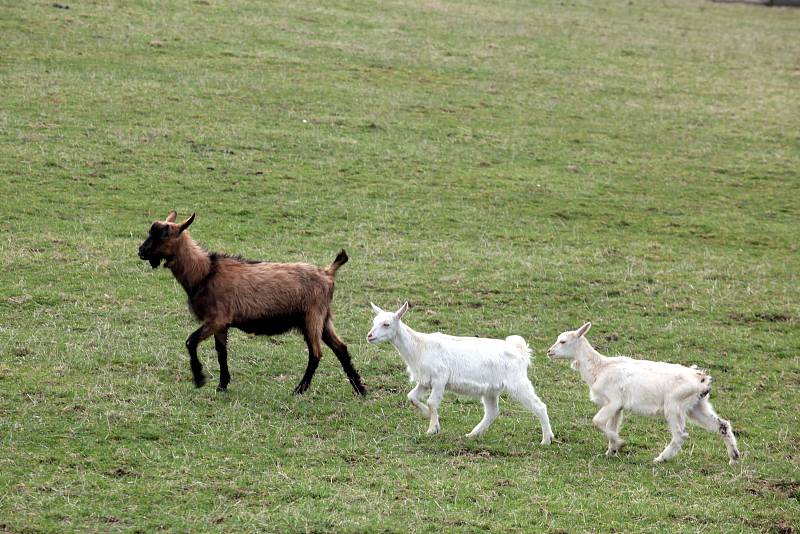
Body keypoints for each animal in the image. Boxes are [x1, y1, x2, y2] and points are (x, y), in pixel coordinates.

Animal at [137, 211, 366, 396]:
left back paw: (299, 390)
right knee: (341, 348)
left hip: (312, 317)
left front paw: (200, 379)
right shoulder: (222, 324)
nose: (140, 251)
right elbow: (221, 353)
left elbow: (190, 341)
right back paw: (360, 389)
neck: (205, 272)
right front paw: (222, 385)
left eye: (164, 234)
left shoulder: (216, 319)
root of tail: (327, 273)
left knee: (316, 353)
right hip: (324, 319)